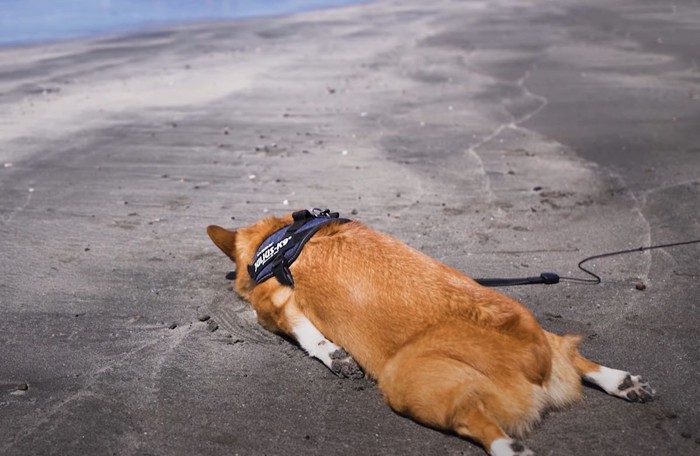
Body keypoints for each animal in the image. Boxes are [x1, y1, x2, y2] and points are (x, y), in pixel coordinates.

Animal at [205, 210, 652, 456]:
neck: (276, 238)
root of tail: (531, 352)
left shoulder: (274, 306)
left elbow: (308, 336)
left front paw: (335, 356)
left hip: (405, 380)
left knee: (471, 416)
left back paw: (509, 448)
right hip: (547, 339)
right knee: (572, 353)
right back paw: (622, 381)